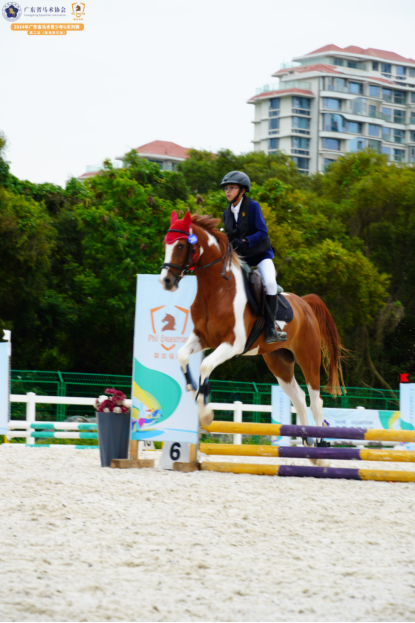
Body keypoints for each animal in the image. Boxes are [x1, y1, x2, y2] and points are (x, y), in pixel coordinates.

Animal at [161, 210, 346, 454]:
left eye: (181, 245)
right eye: (166, 243)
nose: (166, 281)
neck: (216, 290)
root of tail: (304, 303)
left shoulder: (233, 344)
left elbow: (205, 365)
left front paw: (206, 411)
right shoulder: (202, 337)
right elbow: (182, 356)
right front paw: (195, 394)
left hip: (309, 357)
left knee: (316, 401)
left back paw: (320, 445)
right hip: (279, 362)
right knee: (298, 397)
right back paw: (306, 442)